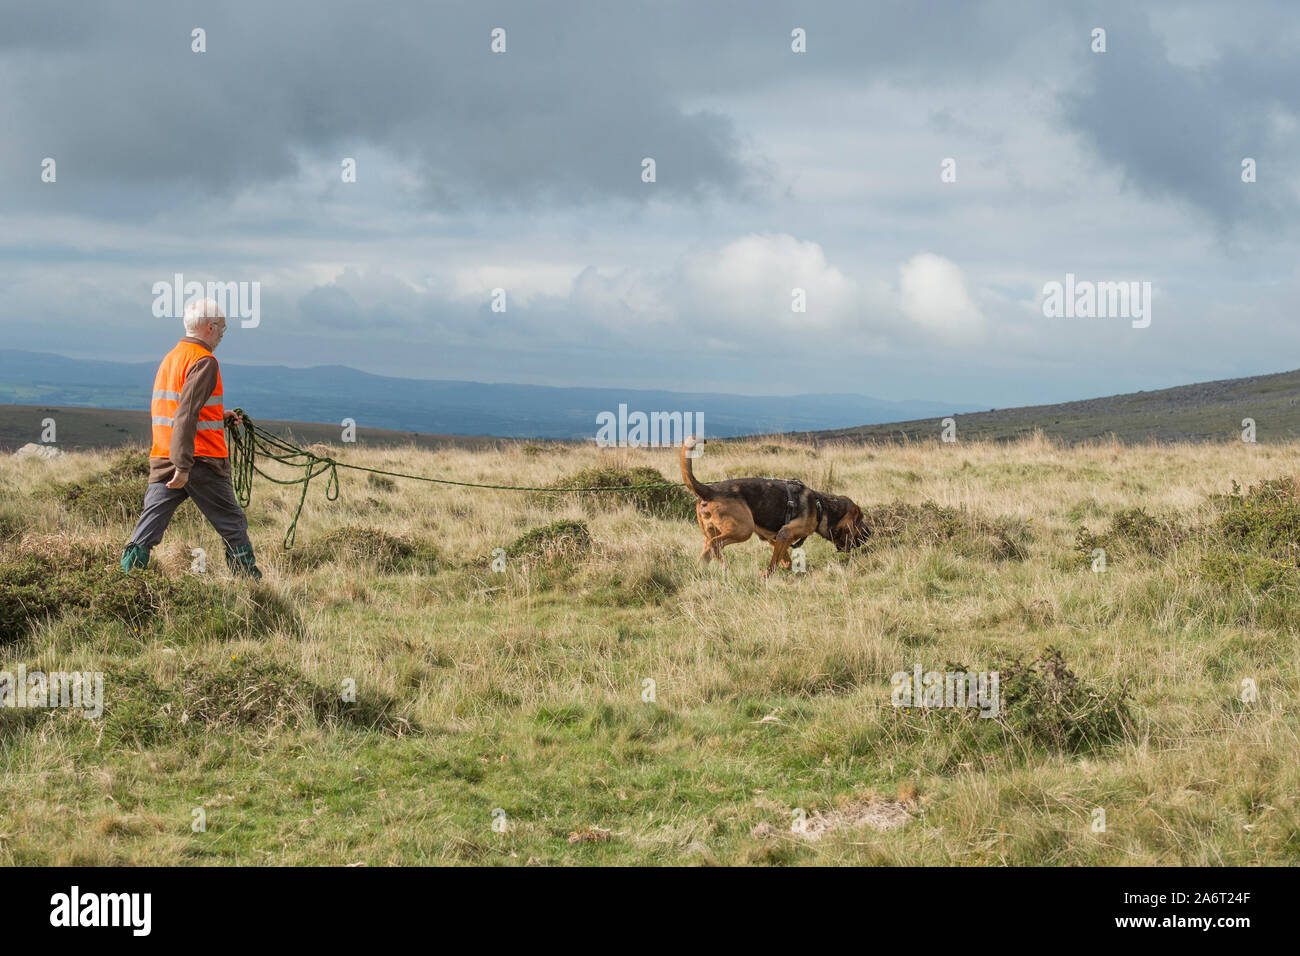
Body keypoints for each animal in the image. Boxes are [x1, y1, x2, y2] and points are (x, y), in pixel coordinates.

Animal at [676, 434, 868, 574]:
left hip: (712, 534)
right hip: (743, 530)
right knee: (715, 545)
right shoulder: (784, 533)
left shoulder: (773, 537)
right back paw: (728, 570)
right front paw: (766, 575)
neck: (821, 508)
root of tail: (709, 490)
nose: (870, 534)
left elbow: (784, 559)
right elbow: (774, 562)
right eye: (860, 521)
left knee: (707, 552)